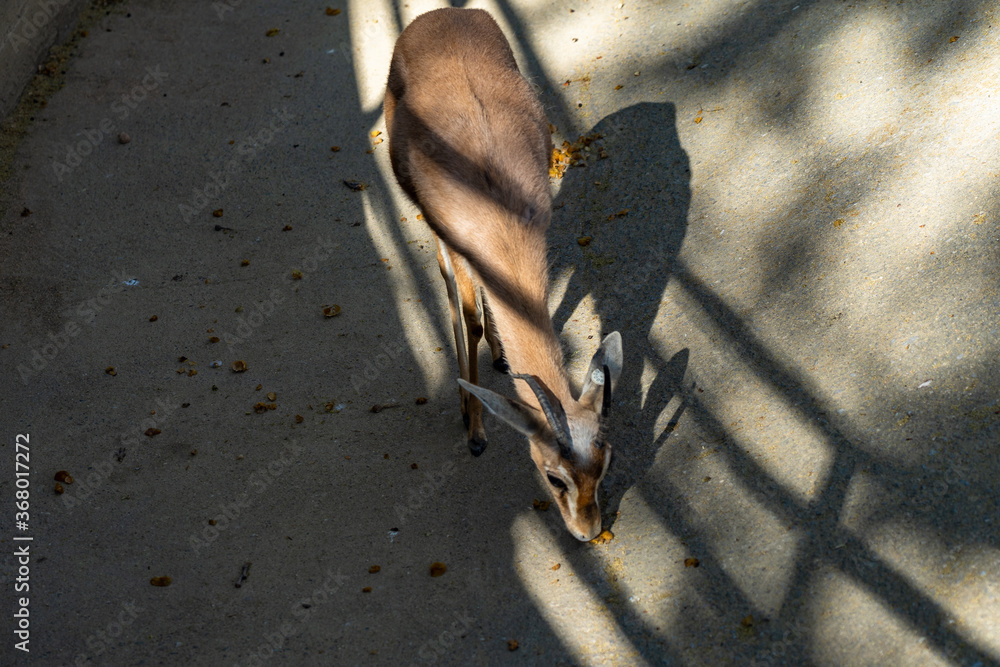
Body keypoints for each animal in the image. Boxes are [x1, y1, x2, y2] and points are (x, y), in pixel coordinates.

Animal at [384, 8, 623, 541]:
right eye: (553, 475)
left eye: (605, 465)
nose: (588, 531)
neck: (497, 213)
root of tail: (441, 13)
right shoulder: (459, 248)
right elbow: (468, 318)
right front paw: (474, 430)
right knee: (450, 288)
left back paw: (498, 355)